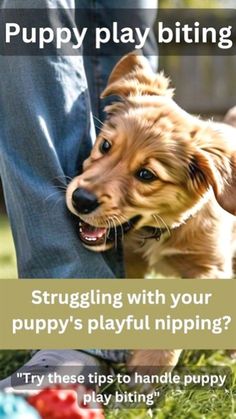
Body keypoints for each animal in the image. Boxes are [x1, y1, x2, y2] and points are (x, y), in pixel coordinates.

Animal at [66, 53, 236, 374]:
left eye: (146, 175)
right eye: (105, 145)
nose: (80, 200)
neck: (162, 230)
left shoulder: (208, 270)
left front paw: (148, 367)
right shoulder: (131, 263)